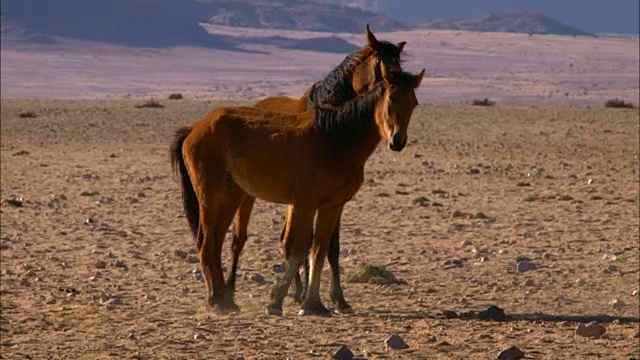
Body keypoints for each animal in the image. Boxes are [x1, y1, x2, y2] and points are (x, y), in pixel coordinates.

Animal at [169, 63, 424, 316]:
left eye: (414, 103)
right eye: (391, 97)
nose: (397, 141)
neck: (335, 141)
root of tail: (195, 128)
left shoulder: (332, 206)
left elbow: (319, 249)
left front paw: (314, 303)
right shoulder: (305, 204)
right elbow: (299, 247)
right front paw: (279, 300)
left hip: (231, 198)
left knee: (216, 242)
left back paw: (225, 299)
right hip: (210, 197)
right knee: (206, 243)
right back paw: (216, 300)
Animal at [225, 25, 404, 314]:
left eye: (400, 64)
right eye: (379, 62)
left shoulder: (332, 199)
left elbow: (329, 246)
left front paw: (337, 299)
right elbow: (307, 243)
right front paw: (309, 297)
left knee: (286, 240)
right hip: (248, 195)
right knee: (240, 239)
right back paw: (232, 293)